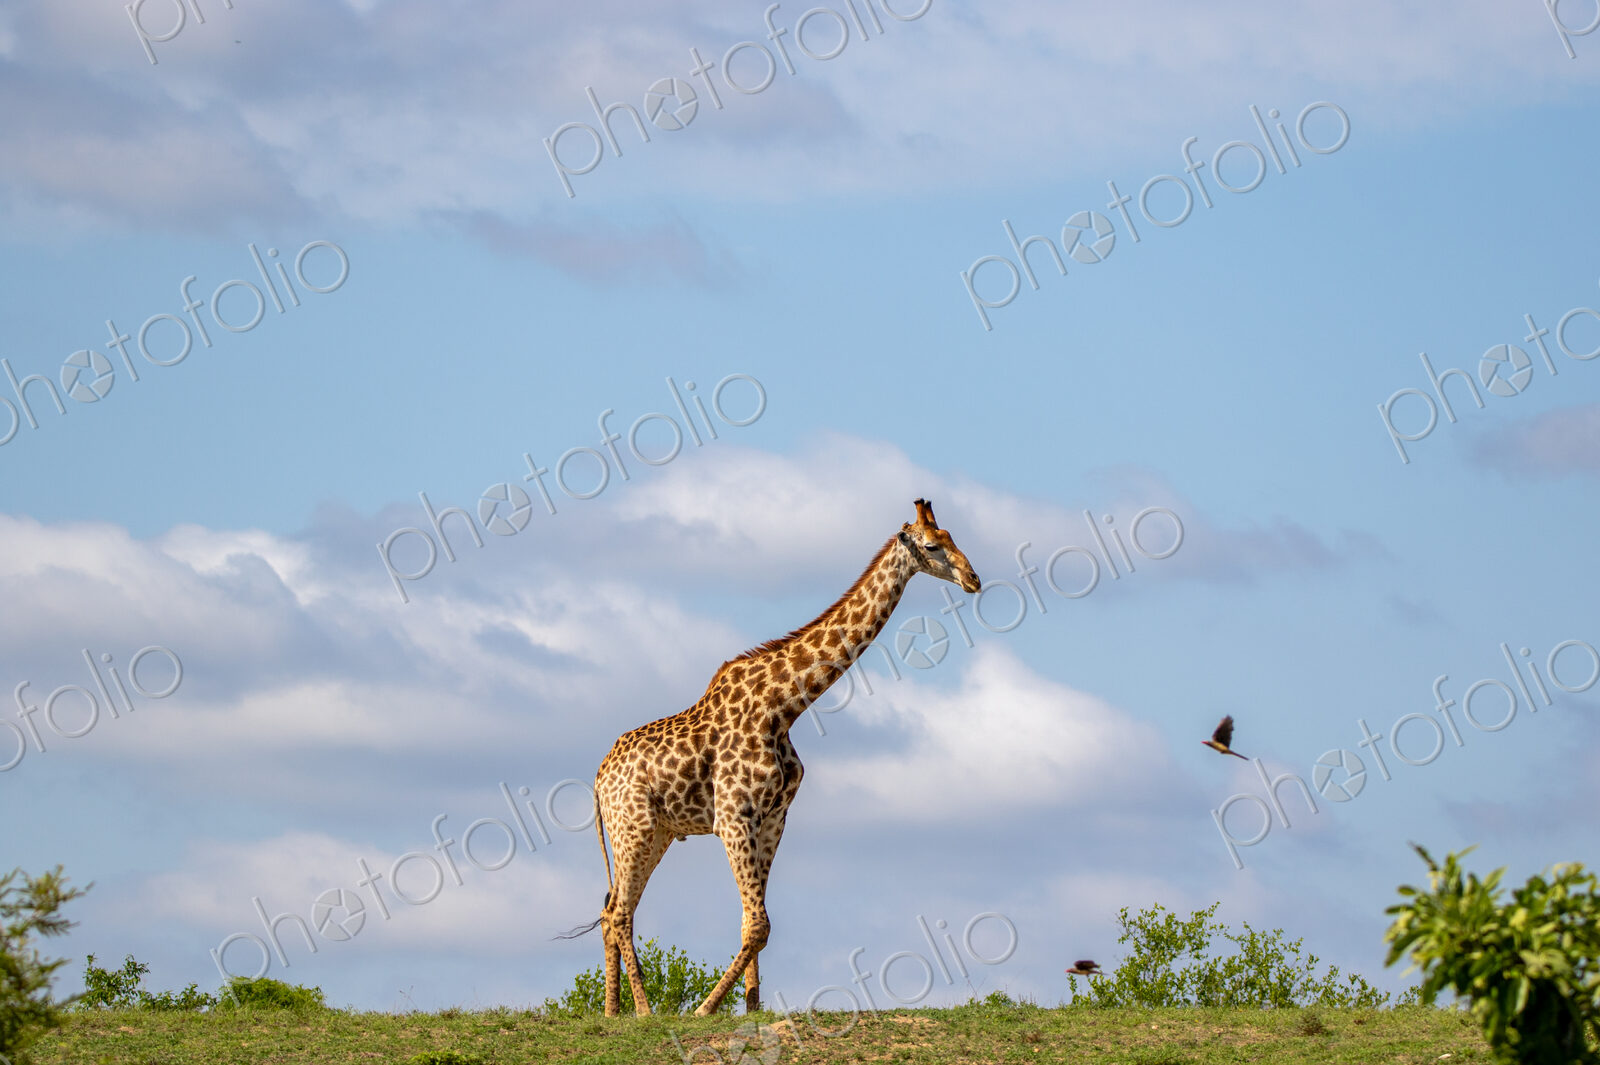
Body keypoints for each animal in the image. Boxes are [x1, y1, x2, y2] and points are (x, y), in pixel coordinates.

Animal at [587, 498, 982, 1018]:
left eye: (953, 537)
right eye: (934, 546)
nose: (974, 578)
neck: (785, 706)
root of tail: (597, 778)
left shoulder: (773, 817)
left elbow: (751, 922)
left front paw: (752, 1009)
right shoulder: (734, 816)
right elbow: (759, 923)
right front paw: (705, 1010)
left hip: (659, 832)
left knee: (612, 908)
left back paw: (613, 1012)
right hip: (632, 825)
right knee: (619, 912)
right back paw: (644, 1011)